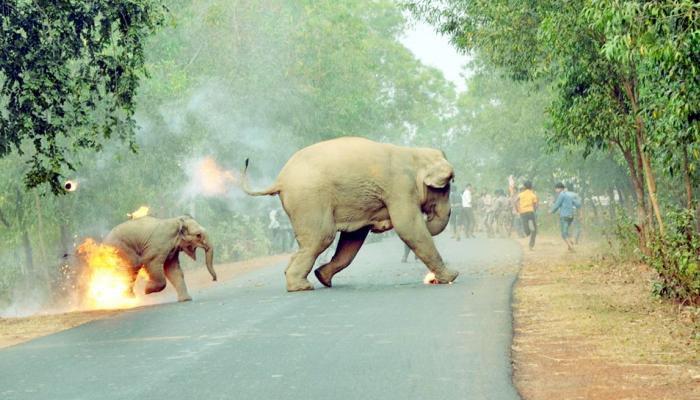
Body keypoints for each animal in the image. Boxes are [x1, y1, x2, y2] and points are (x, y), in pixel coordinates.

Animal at [242, 137, 460, 290]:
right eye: (446, 187)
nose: (429, 217)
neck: (414, 154)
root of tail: (280, 180)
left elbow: (353, 238)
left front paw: (323, 276)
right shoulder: (400, 188)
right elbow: (409, 227)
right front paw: (452, 276)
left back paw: (312, 279)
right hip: (309, 199)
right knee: (322, 237)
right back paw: (301, 287)